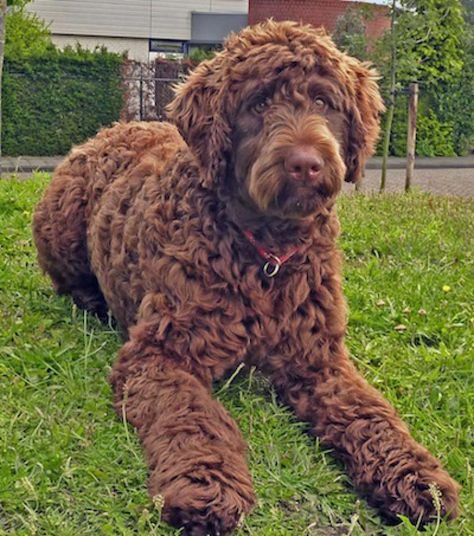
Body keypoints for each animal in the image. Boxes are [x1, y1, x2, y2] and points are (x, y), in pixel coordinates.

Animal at [32, 18, 460, 532]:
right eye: (258, 104)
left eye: (323, 102)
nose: (305, 163)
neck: (266, 256)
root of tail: (115, 127)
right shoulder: (160, 355)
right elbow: (193, 417)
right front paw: (205, 483)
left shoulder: (320, 360)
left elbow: (371, 413)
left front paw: (416, 474)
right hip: (61, 220)